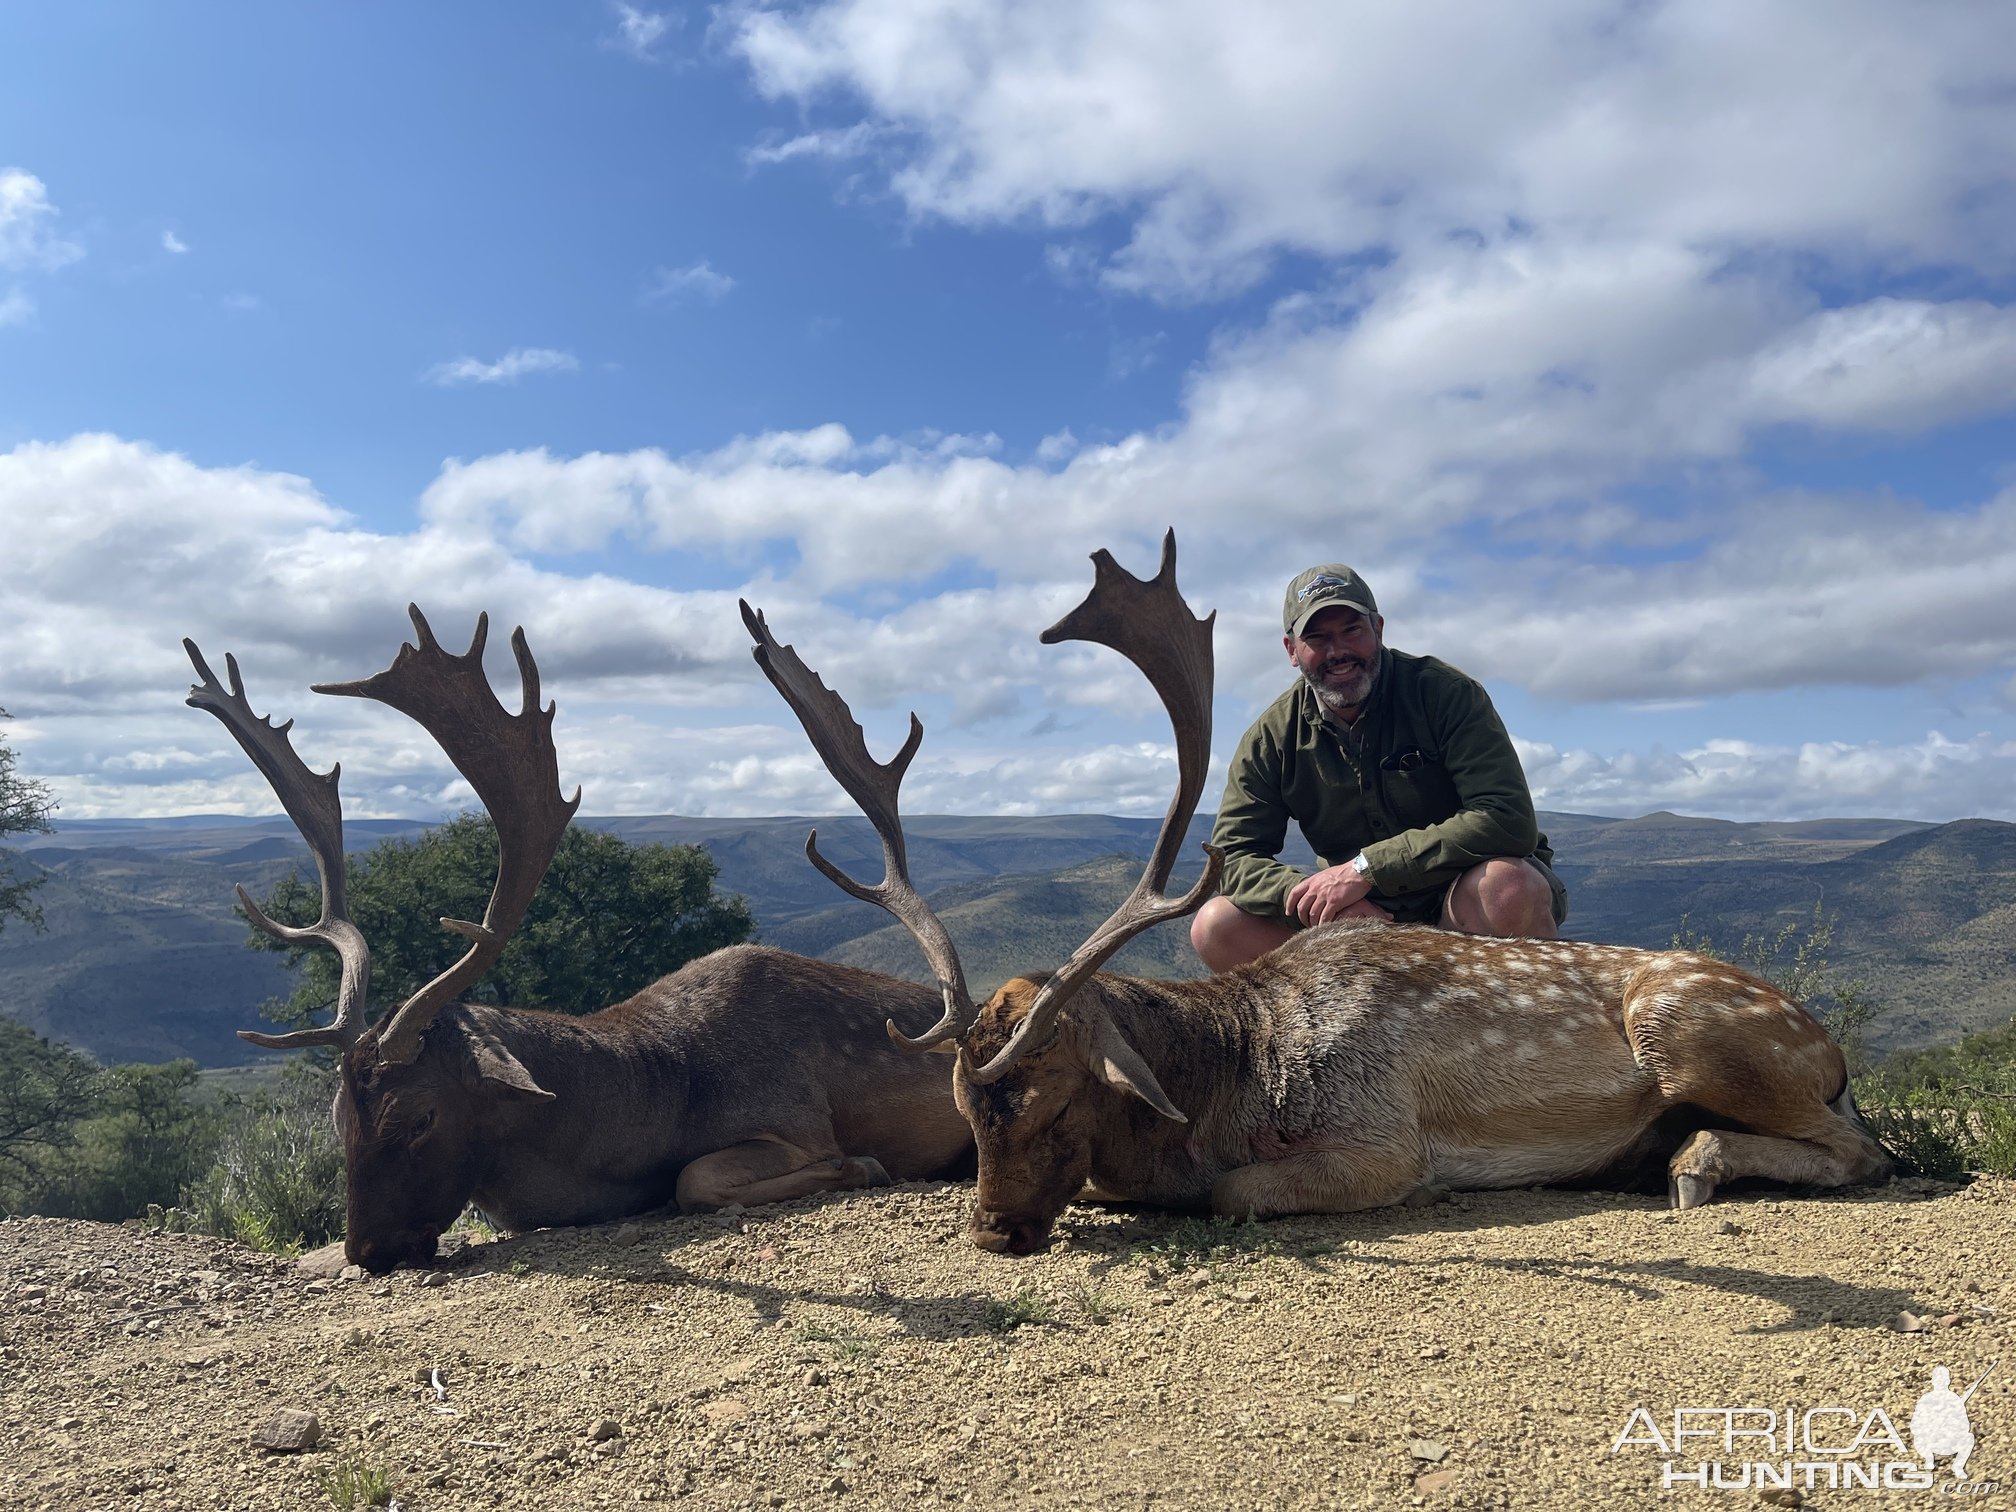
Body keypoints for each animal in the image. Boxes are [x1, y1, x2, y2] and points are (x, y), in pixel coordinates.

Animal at [187, 608, 967, 1274]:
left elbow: (694, 1177)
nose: (369, 1251)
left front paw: (863, 1165)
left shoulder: (794, 1117)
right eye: (338, 1115)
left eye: (421, 1115)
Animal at [749, 532, 1895, 1257]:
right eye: (962, 1106)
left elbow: (1234, 1191)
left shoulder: (1381, 1136)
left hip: (1692, 1026)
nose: (991, 1232)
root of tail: (1829, 1045)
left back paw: (1695, 1160)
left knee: (1865, 1151)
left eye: (1055, 1093)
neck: (1231, 1082)